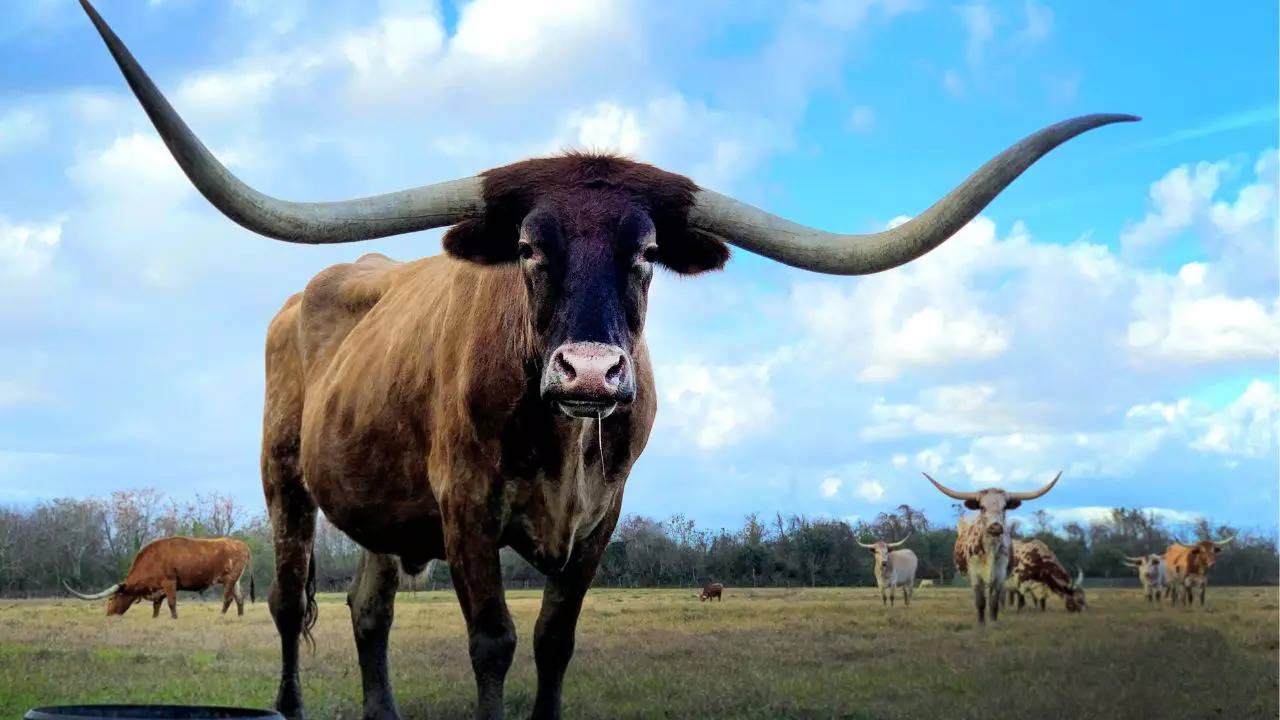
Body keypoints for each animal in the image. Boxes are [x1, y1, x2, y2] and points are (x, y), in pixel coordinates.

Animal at [64, 532, 252, 617]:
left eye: (111, 599)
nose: (108, 615)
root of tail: (240, 544)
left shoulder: (170, 582)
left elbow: (171, 603)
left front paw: (174, 619)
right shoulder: (158, 589)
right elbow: (156, 606)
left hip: (229, 579)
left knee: (228, 599)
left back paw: (220, 616)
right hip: (236, 580)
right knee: (240, 598)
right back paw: (240, 617)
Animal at [926, 471, 1064, 622]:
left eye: (1004, 507)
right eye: (982, 507)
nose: (996, 527)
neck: (990, 549)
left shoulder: (1000, 576)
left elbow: (994, 602)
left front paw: (993, 621)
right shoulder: (975, 575)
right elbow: (980, 601)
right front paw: (981, 623)